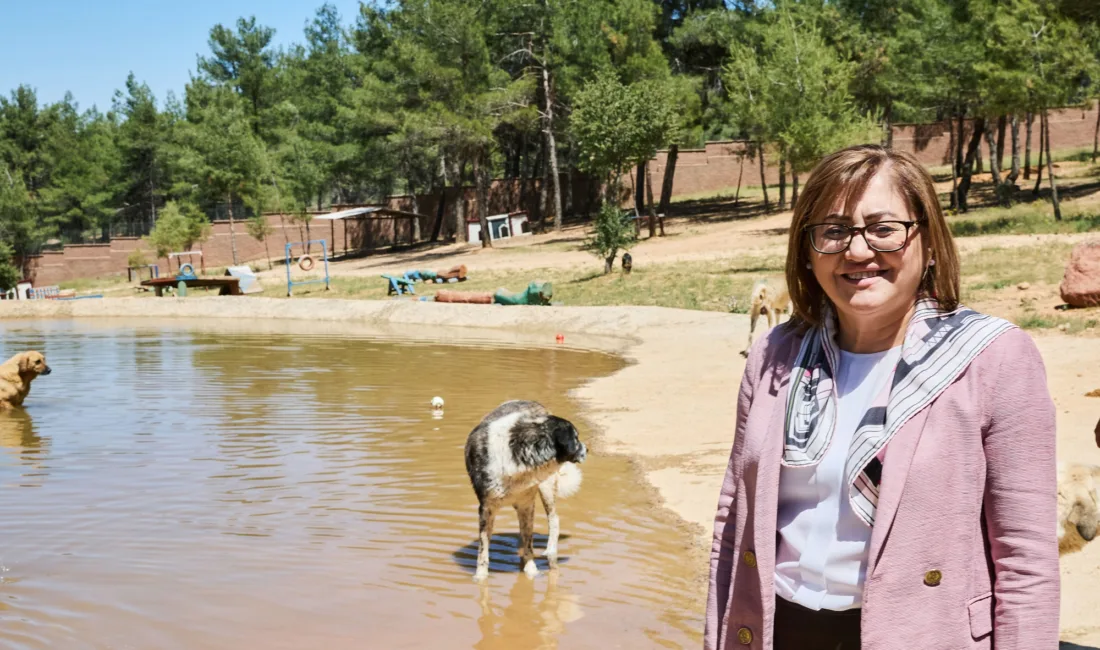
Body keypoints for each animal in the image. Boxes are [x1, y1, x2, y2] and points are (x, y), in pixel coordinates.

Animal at [462, 400, 585, 580]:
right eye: (576, 438)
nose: (587, 449)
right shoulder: (486, 508)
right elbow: (483, 550)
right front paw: (480, 578)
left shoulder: (526, 504)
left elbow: (529, 545)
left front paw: (532, 572)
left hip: (546, 487)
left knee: (553, 519)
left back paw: (550, 551)